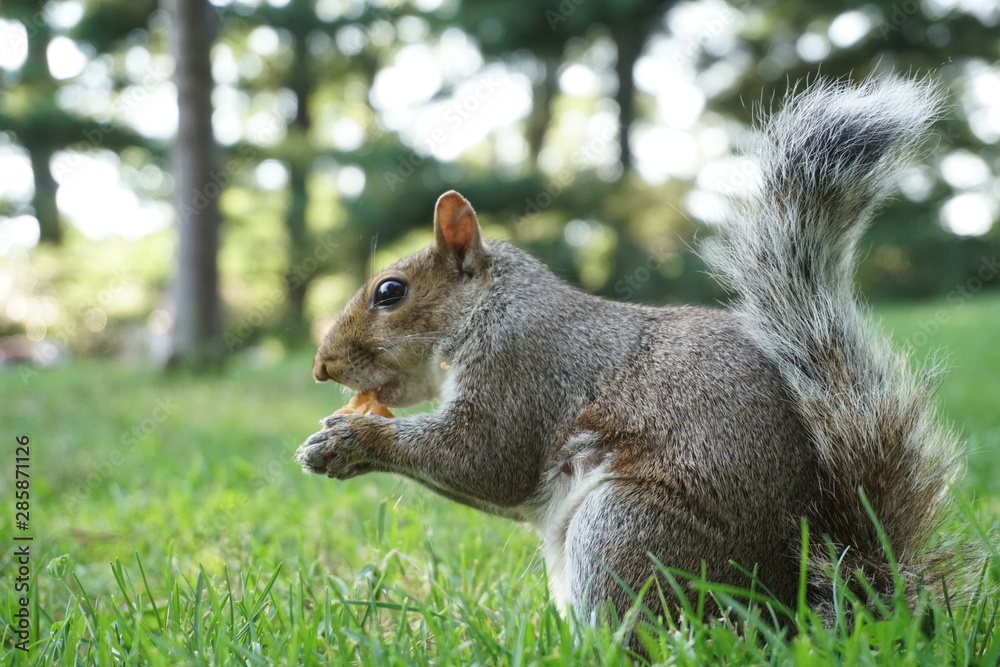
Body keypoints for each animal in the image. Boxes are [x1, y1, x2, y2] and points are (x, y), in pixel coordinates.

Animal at [296, 77, 962, 627]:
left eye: (390, 291)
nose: (322, 366)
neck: (491, 308)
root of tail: (798, 608)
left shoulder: (527, 367)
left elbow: (485, 458)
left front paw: (349, 440)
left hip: (625, 529)